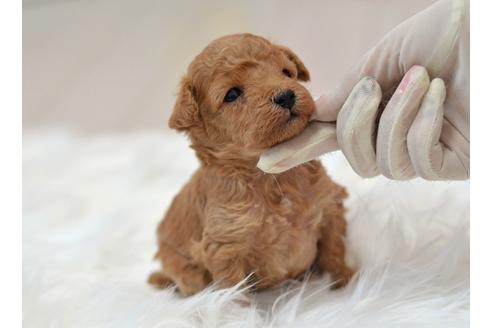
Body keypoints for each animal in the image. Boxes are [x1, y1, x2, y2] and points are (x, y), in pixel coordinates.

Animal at [148, 34, 352, 298]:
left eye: (286, 72)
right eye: (232, 94)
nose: (286, 96)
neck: (271, 177)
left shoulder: (329, 206)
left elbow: (334, 249)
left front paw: (343, 282)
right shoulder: (225, 246)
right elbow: (234, 291)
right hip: (185, 271)